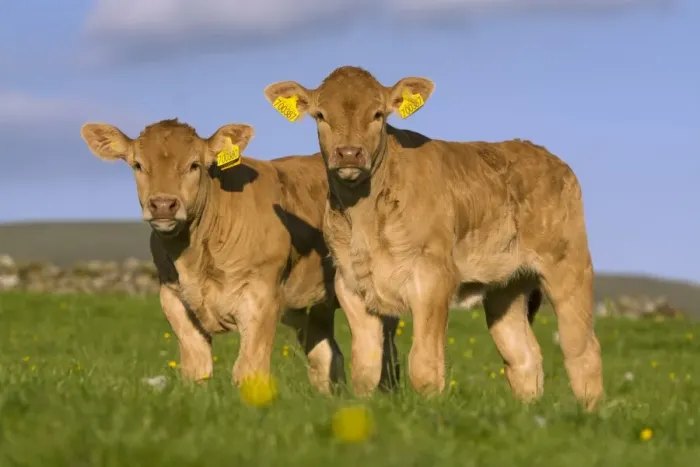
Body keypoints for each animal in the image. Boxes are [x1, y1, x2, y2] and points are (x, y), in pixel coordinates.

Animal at [79, 118, 363, 394]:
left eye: (194, 165)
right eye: (137, 165)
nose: (162, 205)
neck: (195, 258)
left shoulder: (262, 297)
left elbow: (249, 370)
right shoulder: (173, 298)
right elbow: (197, 368)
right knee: (327, 356)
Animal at [263, 66, 604, 410]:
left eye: (378, 114)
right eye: (321, 115)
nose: (349, 153)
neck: (365, 218)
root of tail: (543, 154)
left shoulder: (432, 278)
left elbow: (425, 365)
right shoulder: (351, 284)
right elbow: (365, 368)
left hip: (569, 266)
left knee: (582, 349)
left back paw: (589, 412)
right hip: (506, 287)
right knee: (522, 356)